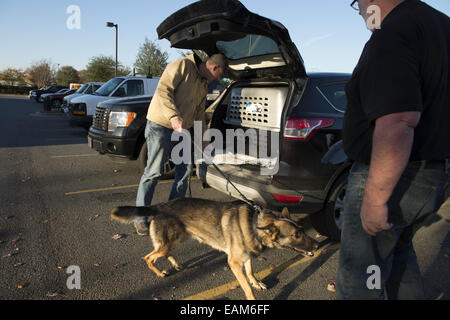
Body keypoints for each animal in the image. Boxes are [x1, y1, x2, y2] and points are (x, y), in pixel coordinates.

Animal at [110, 198, 318, 300]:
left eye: (301, 231)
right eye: (296, 235)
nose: (317, 245)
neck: (254, 224)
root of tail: (159, 205)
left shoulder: (246, 256)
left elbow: (250, 271)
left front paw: (256, 282)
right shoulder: (234, 263)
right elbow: (245, 286)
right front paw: (252, 294)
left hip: (176, 239)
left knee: (165, 252)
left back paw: (175, 265)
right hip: (169, 242)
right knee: (148, 257)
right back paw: (160, 273)